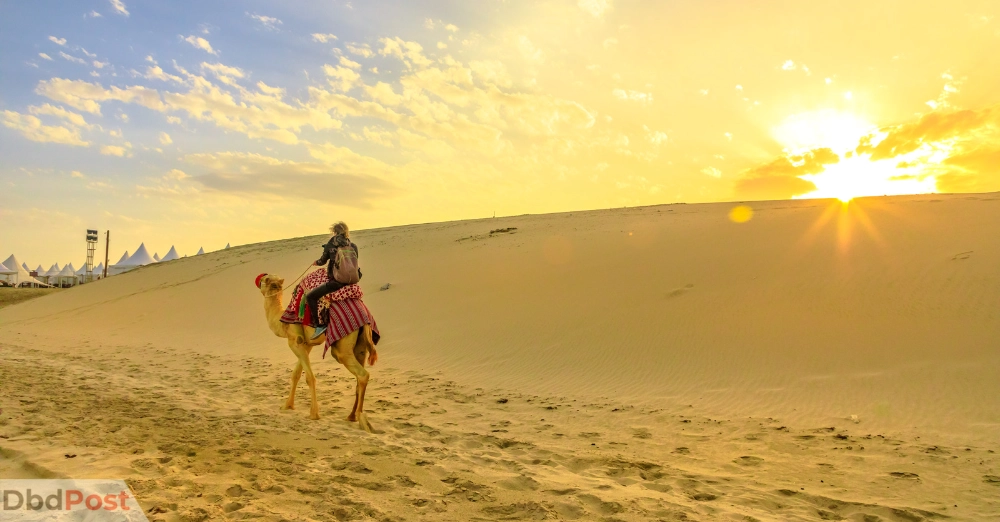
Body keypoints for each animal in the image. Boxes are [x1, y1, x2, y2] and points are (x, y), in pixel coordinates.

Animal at [258, 272, 378, 430]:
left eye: (264, 279)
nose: (258, 280)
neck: (281, 321)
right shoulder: (306, 344)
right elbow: (296, 374)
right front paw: (287, 406)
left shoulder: (294, 342)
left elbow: (309, 377)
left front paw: (314, 414)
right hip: (361, 345)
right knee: (359, 376)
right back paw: (351, 416)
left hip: (342, 347)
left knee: (362, 374)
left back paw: (360, 419)